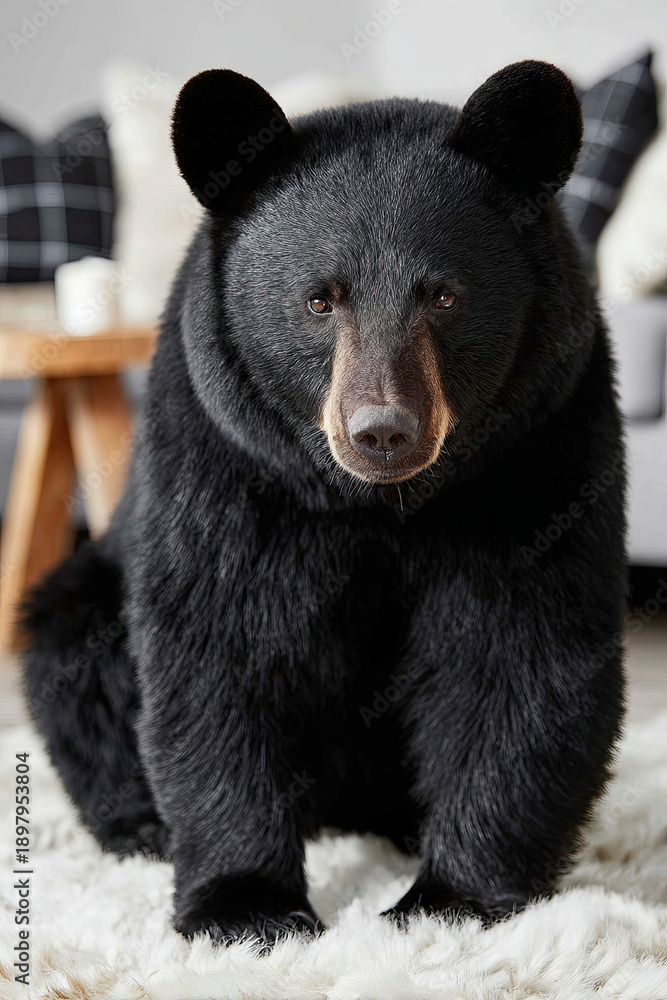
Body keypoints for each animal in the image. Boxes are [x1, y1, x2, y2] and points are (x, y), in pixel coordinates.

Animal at [22, 60, 626, 947]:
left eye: (443, 296)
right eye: (318, 299)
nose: (382, 431)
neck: (379, 505)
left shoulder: (543, 447)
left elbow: (521, 655)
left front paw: (449, 900)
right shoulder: (224, 458)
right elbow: (217, 649)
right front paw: (245, 907)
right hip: (84, 594)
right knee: (74, 666)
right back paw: (142, 826)